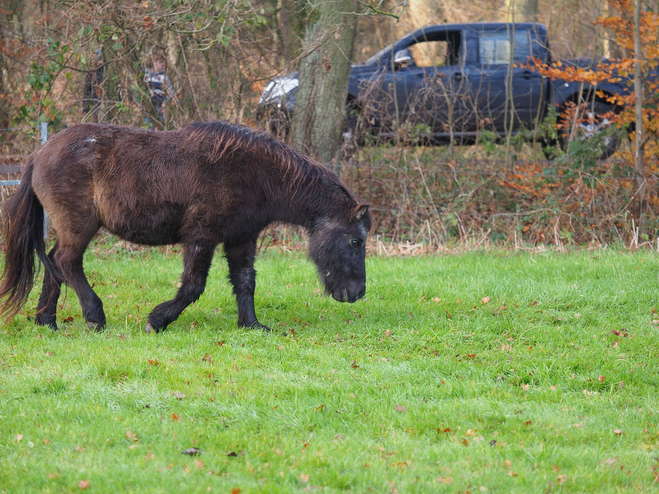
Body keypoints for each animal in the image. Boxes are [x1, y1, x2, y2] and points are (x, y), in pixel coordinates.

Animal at [0, 121, 372, 334]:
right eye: (355, 241)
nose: (357, 293)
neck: (256, 174)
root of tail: (40, 152)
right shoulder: (201, 236)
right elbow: (194, 285)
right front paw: (158, 320)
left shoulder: (241, 238)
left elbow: (245, 281)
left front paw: (251, 325)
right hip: (79, 225)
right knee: (66, 262)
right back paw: (94, 316)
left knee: (54, 262)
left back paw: (47, 321)